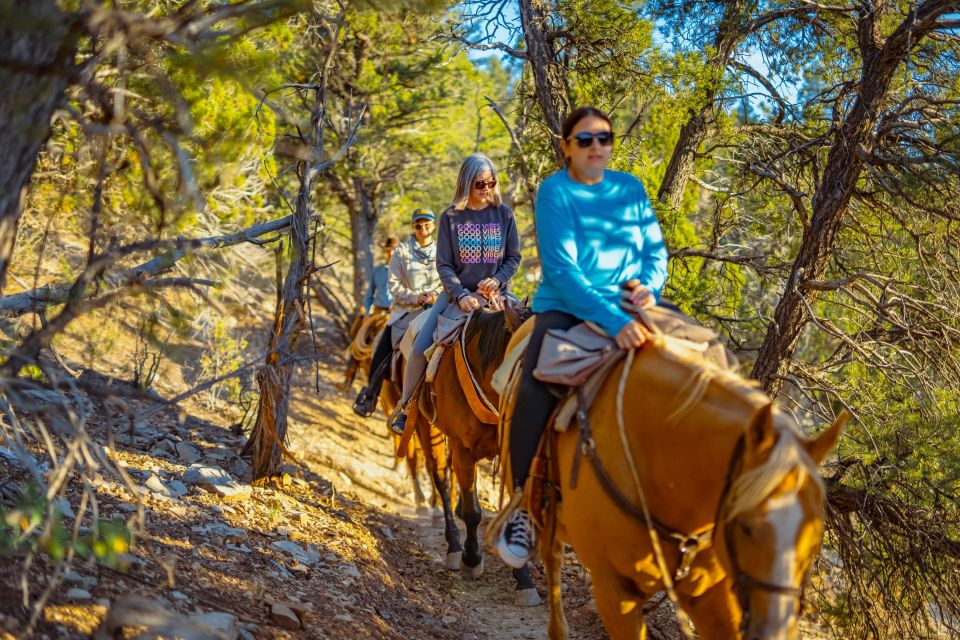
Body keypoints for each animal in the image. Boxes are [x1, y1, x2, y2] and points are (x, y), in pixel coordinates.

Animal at [426, 302, 544, 608]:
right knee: (440, 479)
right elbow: (473, 512)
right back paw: (455, 547)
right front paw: (471, 559)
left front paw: (524, 580)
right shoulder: (463, 448)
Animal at [498, 324, 844, 640]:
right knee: (550, 555)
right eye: (747, 527)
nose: (774, 632)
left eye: (815, 538)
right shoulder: (615, 595)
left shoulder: (711, 594)